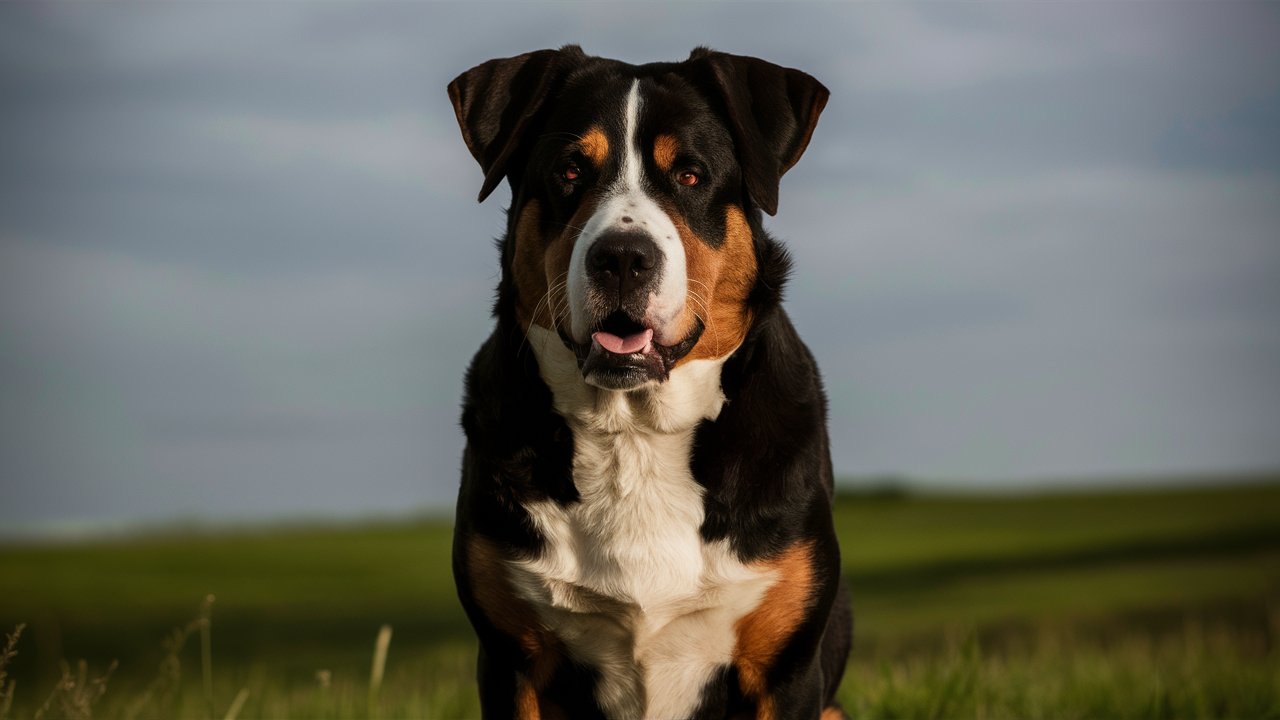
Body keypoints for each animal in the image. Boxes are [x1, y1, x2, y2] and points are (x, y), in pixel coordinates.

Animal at [448, 46, 849, 717]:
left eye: (689, 175)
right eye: (570, 170)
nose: (622, 257)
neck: (632, 432)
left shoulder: (785, 671)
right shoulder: (512, 662)